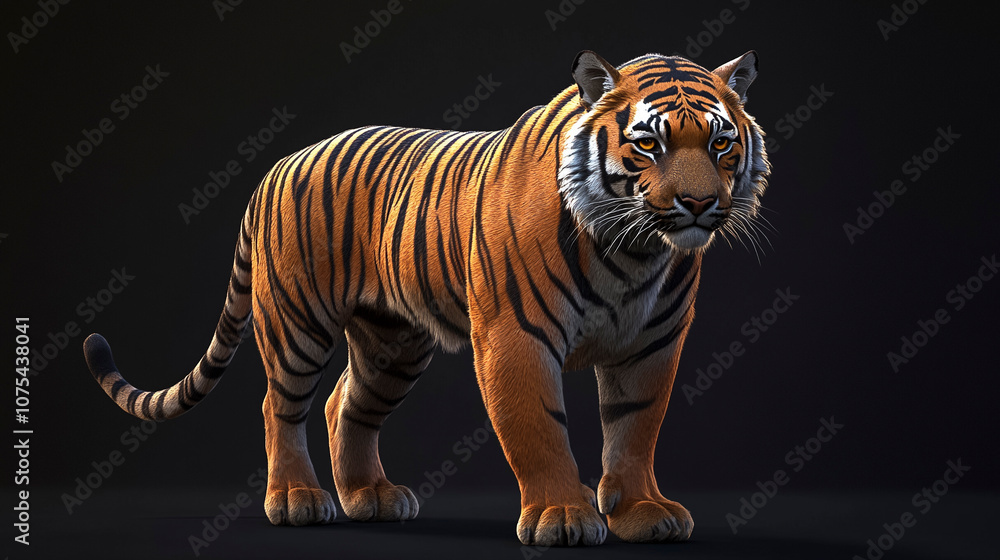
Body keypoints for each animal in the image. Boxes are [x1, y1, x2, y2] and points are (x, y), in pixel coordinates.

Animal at [84, 49, 769, 546]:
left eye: (721, 143)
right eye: (649, 142)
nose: (699, 204)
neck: (633, 253)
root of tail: (276, 166)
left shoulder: (652, 345)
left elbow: (635, 428)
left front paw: (643, 512)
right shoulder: (517, 337)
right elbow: (539, 427)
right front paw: (562, 517)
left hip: (392, 343)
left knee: (346, 405)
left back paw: (371, 498)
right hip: (297, 323)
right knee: (280, 406)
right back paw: (297, 501)